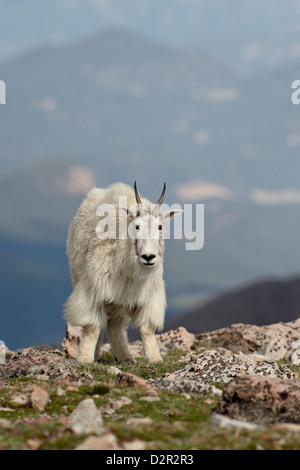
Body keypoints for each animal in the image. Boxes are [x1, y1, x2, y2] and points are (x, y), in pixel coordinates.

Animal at [64, 181, 182, 364]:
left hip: (119, 301)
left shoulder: (148, 295)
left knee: (115, 324)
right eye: (137, 226)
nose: (148, 257)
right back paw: (97, 354)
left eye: (160, 226)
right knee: (104, 325)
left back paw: (125, 356)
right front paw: (84, 359)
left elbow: (147, 327)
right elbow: (91, 327)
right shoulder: (93, 291)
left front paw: (155, 358)